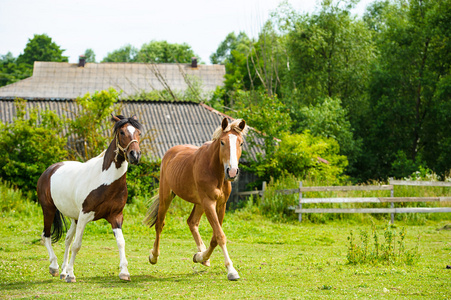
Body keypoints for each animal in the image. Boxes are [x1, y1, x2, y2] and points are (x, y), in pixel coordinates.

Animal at [37, 113, 143, 282]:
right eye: (121, 132)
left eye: (138, 133)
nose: (135, 155)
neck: (105, 179)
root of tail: (50, 170)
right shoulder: (85, 215)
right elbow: (77, 245)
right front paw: (71, 275)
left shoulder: (116, 216)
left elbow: (121, 242)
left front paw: (124, 272)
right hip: (49, 209)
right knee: (46, 235)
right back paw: (54, 267)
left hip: (74, 218)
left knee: (67, 239)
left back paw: (62, 272)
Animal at [145, 118, 247, 282]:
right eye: (222, 142)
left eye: (241, 143)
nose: (232, 172)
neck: (214, 170)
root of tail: (170, 152)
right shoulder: (209, 203)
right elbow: (220, 235)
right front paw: (231, 270)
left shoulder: (221, 205)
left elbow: (215, 237)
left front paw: (200, 256)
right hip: (167, 196)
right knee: (160, 224)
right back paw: (153, 256)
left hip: (199, 203)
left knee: (192, 222)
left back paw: (202, 256)